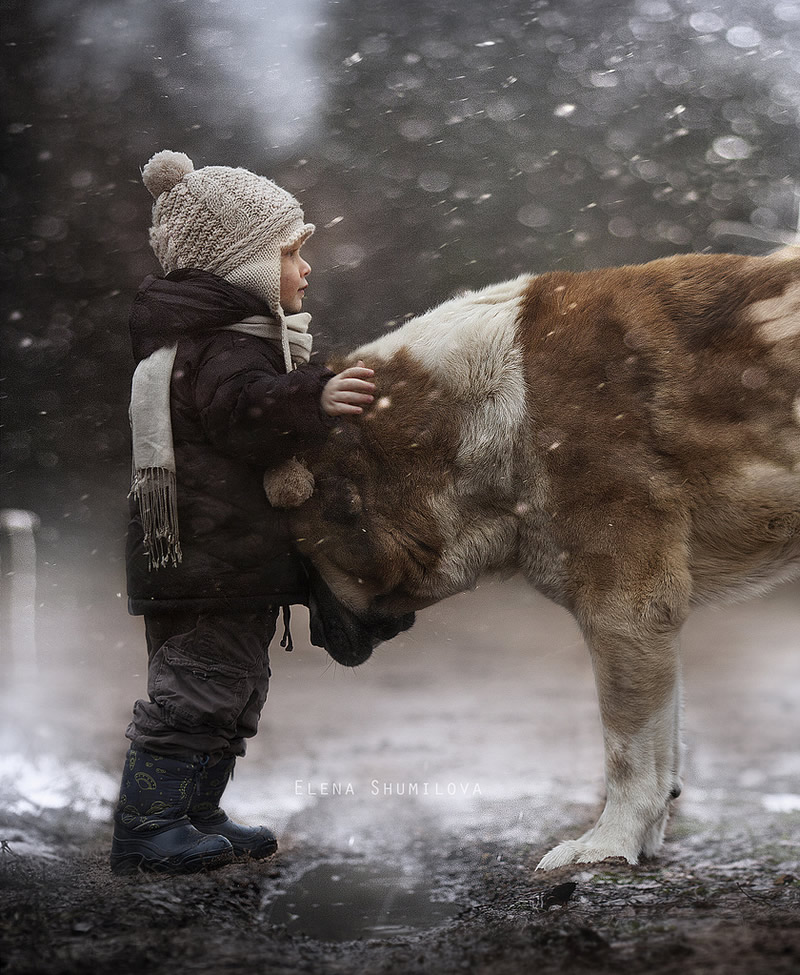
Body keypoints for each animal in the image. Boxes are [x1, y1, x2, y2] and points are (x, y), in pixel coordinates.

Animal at [288, 250, 800, 868]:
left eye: (298, 564)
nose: (315, 640)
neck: (483, 412)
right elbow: (664, 751)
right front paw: (640, 843)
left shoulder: (624, 611)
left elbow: (628, 753)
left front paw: (606, 846)